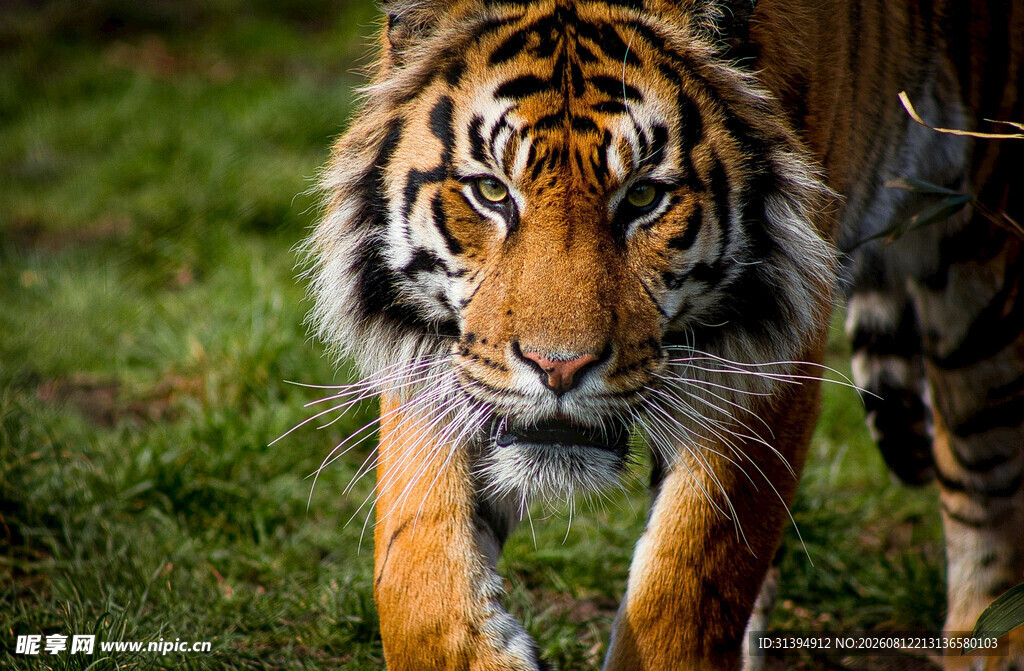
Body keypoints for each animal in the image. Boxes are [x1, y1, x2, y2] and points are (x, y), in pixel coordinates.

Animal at [304, 0, 1024, 668]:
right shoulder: (442, 363)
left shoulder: (766, 359)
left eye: (644, 197)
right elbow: (414, 575)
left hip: (983, 267)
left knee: (985, 485)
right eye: (492, 192)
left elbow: (687, 581)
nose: (558, 368)